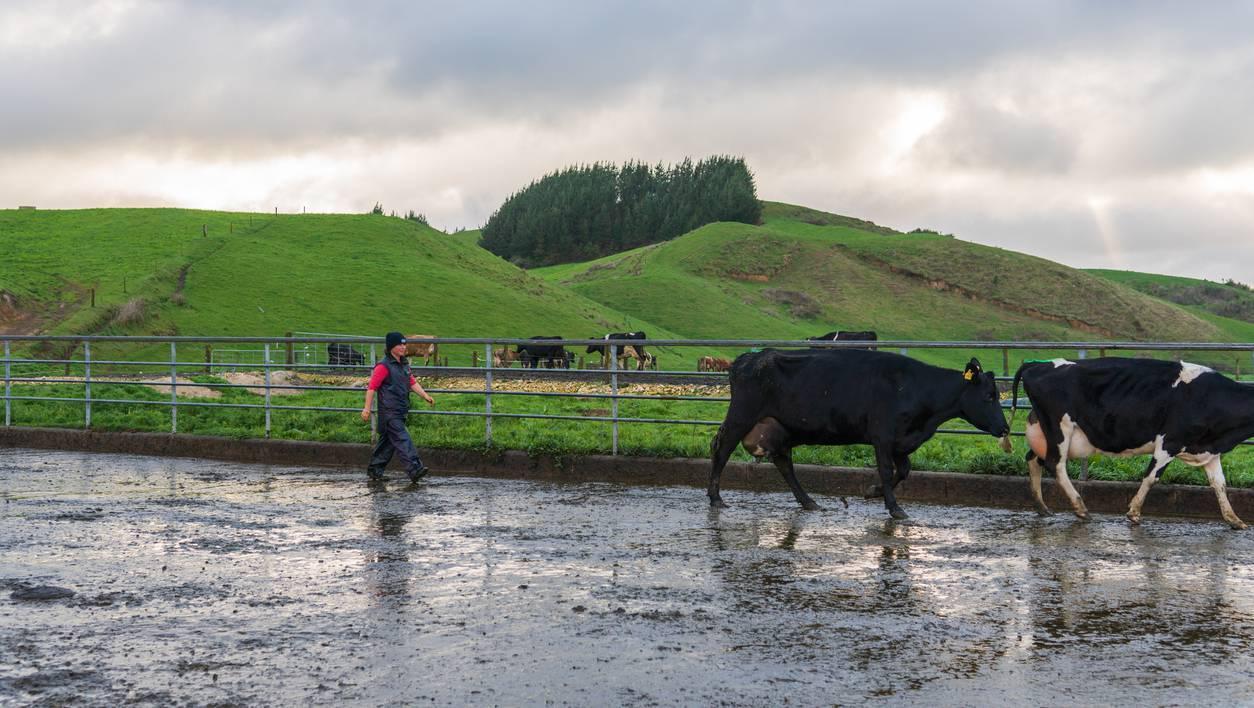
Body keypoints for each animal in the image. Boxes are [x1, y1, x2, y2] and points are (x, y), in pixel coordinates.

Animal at [709, 349, 1008, 518]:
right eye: (989, 395)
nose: (1005, 428)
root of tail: (749, 358)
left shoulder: (901, 441)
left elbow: (905, 471)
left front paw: (872, 492)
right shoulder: (883, 436)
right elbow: (887, 471)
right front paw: (894, 507)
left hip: (780, 428)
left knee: (784, 464)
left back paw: (809, 502)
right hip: (741, 416)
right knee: (721, 449)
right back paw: (716, 498)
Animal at [1007, 357, 1254, 529]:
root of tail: (1039, 365)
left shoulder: (1208, 451)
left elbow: (1219, 484)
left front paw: (1234, 520)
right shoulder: (1169, 441)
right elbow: (1151, 477)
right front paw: (1134, 512)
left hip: (1044, 431)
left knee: (1034, 459)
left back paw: (1042, 506)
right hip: (1059, 428)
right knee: (1055, 464)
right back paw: (1080, 508)